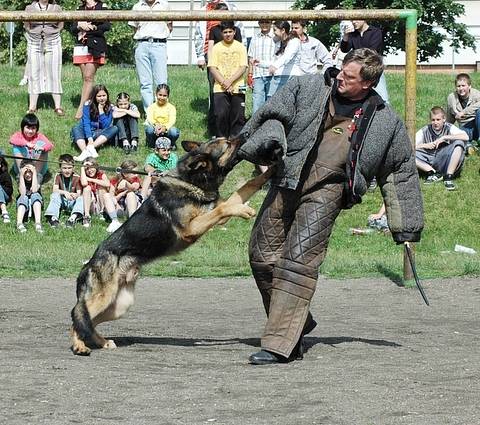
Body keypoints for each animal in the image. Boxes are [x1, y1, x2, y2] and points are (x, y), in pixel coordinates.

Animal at [71, 137, 270, 354]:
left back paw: (102, 342)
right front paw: (244, 209)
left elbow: (247, 187)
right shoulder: (191, 229)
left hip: (119, 305)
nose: (244, 135)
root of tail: (88, 265)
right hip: (103, 297)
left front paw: (270, 172)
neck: (191, 181)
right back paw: (79, 346)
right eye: (227, 143)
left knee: (88, 322)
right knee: (76, 315)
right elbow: (225, 207)